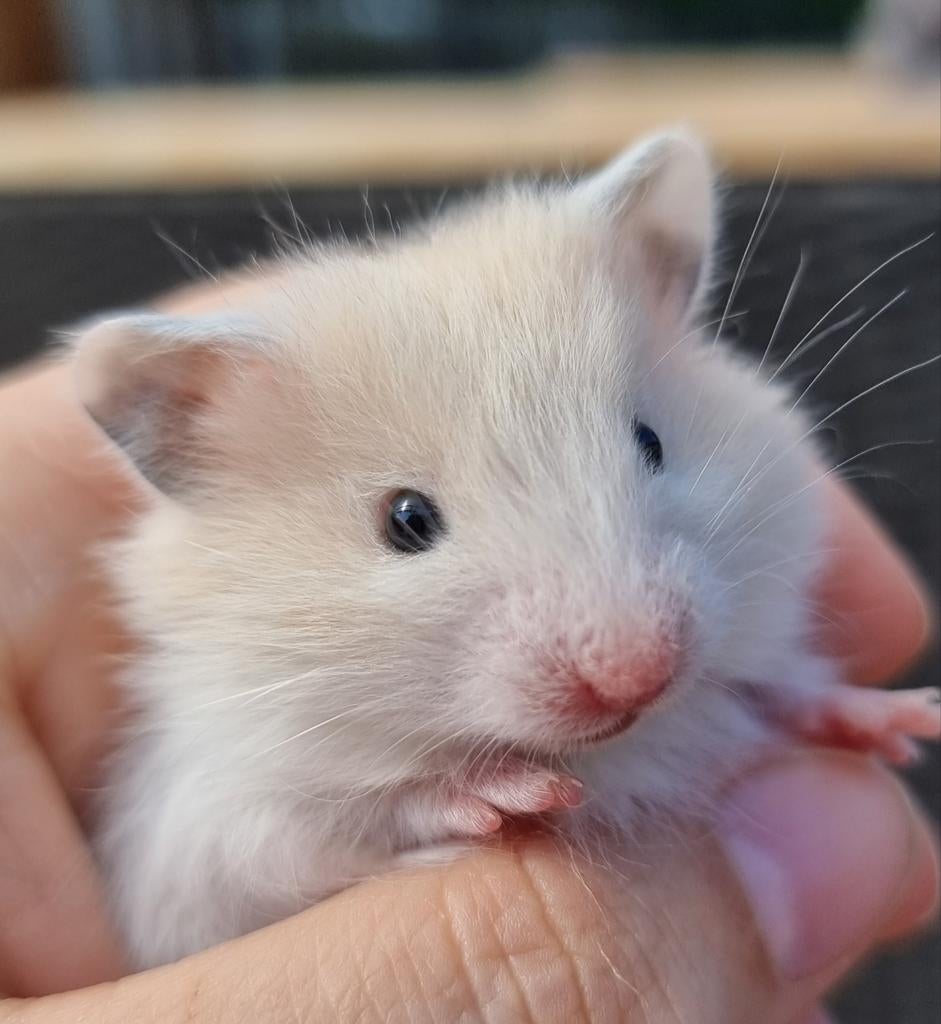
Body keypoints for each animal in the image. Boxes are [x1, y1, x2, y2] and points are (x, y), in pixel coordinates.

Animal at [71, 129, 941, 968]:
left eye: (651, 442)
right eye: (406, 520)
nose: (636, 675)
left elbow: (783, 687)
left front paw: (903, 721)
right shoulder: (211, 827)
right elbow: (348, 819)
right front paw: (511, 796)